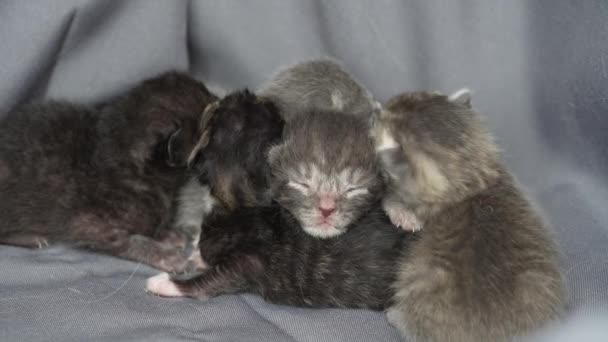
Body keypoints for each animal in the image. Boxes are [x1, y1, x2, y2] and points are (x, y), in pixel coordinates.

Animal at [0, 71, 217, 272]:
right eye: (209, 119)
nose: (220, 99)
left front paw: (165, 234)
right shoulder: (88, 223)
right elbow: (129, 240)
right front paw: (166, 256)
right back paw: (28, 237)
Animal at [370, 90, 564, 342]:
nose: (375, 109)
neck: (469, 180)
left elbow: (393, 200)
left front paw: (402, 215)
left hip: (415, 279)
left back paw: (395, 315)